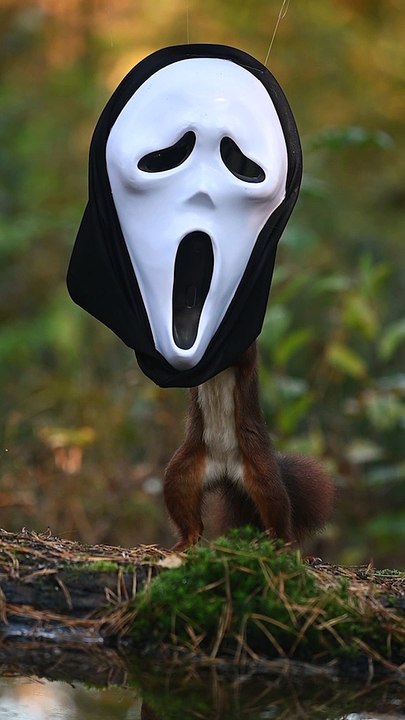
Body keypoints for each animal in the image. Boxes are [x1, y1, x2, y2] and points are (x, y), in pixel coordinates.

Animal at [164, 342, 334, 551]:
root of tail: (225, 470)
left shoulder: (247, 357)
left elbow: (244, 357)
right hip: (182, 474)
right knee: (188, 515)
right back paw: (185, 542)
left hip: (262, 476)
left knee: (277, 513)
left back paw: (281, 547)